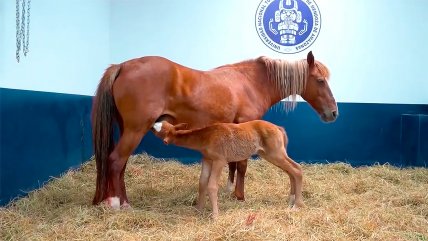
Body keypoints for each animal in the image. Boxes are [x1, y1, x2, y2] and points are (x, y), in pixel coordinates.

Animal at [152, 120, 302, 218]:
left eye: (160, 130)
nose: (152, 124)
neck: (206, 137)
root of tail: (279, 128)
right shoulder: (207, 160)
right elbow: (202, 183)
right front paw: (199, 209)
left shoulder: (219, 160)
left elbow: (212, 186)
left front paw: (215, 216)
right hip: (271, 153)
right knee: (290, 171)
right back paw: (291, 200)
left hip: (275, 153)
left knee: (297, 169)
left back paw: (296, 205)